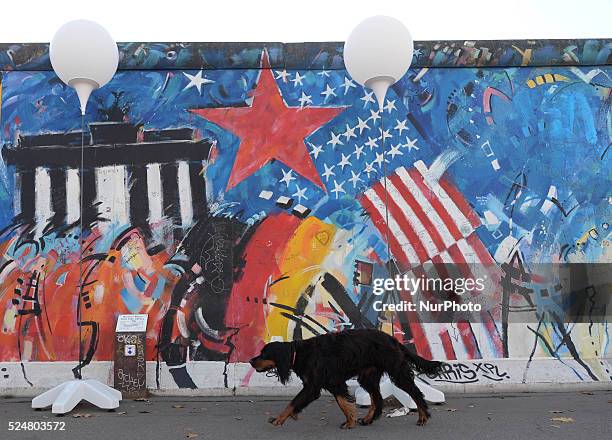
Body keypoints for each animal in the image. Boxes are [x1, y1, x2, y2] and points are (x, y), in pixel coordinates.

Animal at [251, 328, 442, 428]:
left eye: (264, 353)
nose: (251, 361)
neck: (300, 353)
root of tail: (393, 340)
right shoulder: (333, 382)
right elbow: (343, 403)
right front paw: (350, 420)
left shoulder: (313, 386)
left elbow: (293, 402)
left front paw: (278, 419)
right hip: (367, 376)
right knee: (377, 399)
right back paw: (368, 419)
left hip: (397, 372)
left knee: (415, 392)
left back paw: (423, 417)